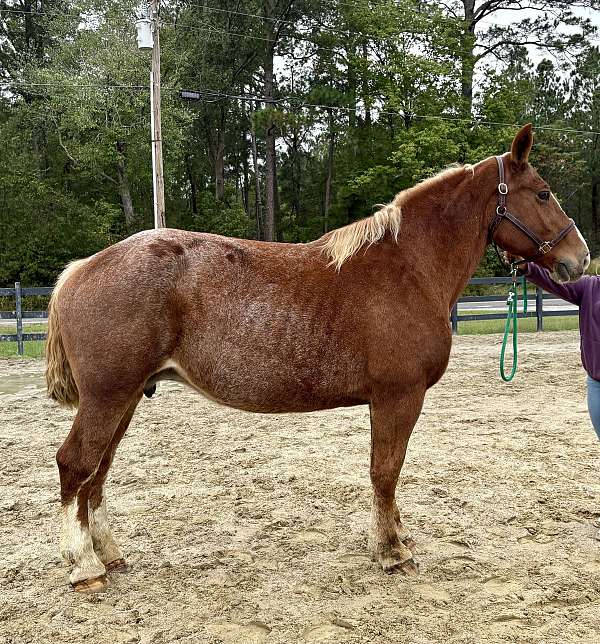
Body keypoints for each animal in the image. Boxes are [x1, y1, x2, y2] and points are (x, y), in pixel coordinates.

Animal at [46, 124, 589, 593]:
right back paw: (85, 567)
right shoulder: (398, 396)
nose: (580, 258)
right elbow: (386, 470)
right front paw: (391, 552)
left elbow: (387, 472)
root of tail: (80, 270)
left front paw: (394, 537)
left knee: (97, 473)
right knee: (76, 465)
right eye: (542, 193)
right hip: (109, 396)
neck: (409, 268)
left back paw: (109, 554)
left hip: (126, 397)